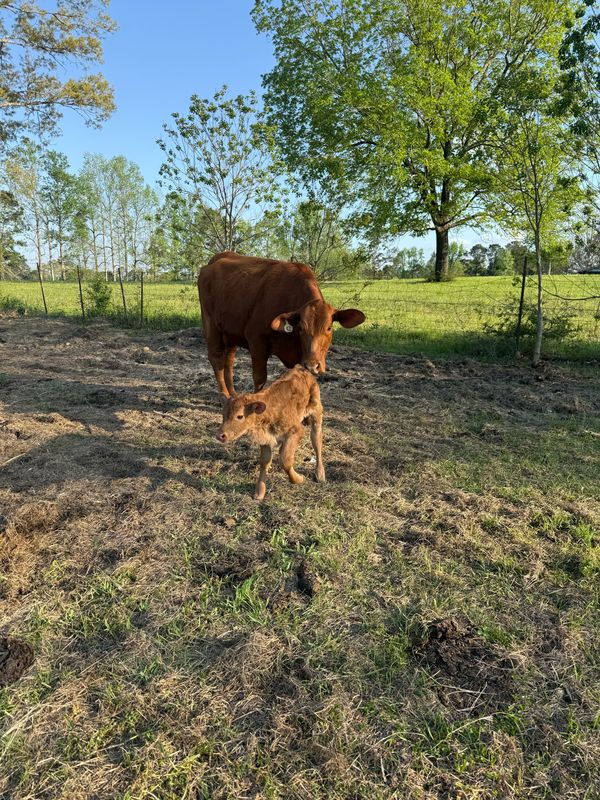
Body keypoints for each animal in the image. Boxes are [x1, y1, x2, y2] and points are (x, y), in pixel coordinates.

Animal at [198, 251, 365, 396]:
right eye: (301, 328)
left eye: (329, 328)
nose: (313, 365)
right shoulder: (256, 339)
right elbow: (259, 378)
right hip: (211, 324)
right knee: (217, 359)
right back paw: (224, 396)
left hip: (230, 331)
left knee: (229, 360)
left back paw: (233, 393)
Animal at [215, 365, 325, 500]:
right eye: (223, 414)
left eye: (240, 416)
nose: (220, 435)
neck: (267, 411)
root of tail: (301, 369)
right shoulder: (266, 439)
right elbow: (265, 461)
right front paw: (259, 493)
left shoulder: (297, 431)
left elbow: (285, 460)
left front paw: (298, 479)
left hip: (316, 413)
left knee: (316, 440)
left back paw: (320, 474)